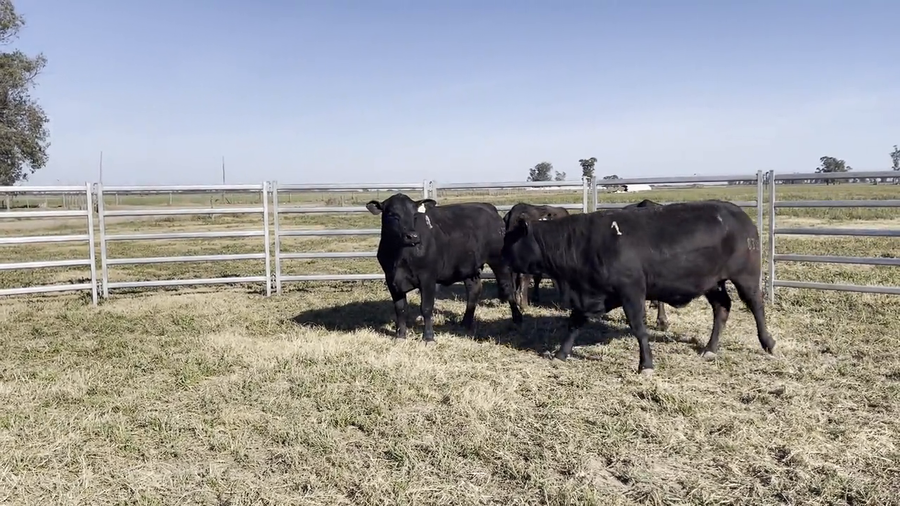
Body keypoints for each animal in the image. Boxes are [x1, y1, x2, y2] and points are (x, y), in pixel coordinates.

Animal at [367, 193, 524, 342]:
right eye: (392, 214)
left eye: (415, 215)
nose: (413, 236)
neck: (401, 256)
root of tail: (488, 207)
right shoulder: (392, 280)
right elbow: (400, 309)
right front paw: (400, 336)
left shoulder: (427, 278)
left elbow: (426, 308)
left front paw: (428, 337)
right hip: (469, 267)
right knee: (474, 290)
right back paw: (465, 323)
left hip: (499, 261)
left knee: (508, 288)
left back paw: (517, 318)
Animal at [500, 199, 775, 376]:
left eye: (510, 240)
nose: (501, 257)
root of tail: (740, 215)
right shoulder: (590, 295)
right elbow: (574, 323)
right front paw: (561, 354)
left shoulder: (631, 292)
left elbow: (639, 329)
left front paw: (646, 365)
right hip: (712, 282)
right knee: (722, 308)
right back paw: (710, 349)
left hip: (745, 276)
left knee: (756, 305)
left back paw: (768, 342)